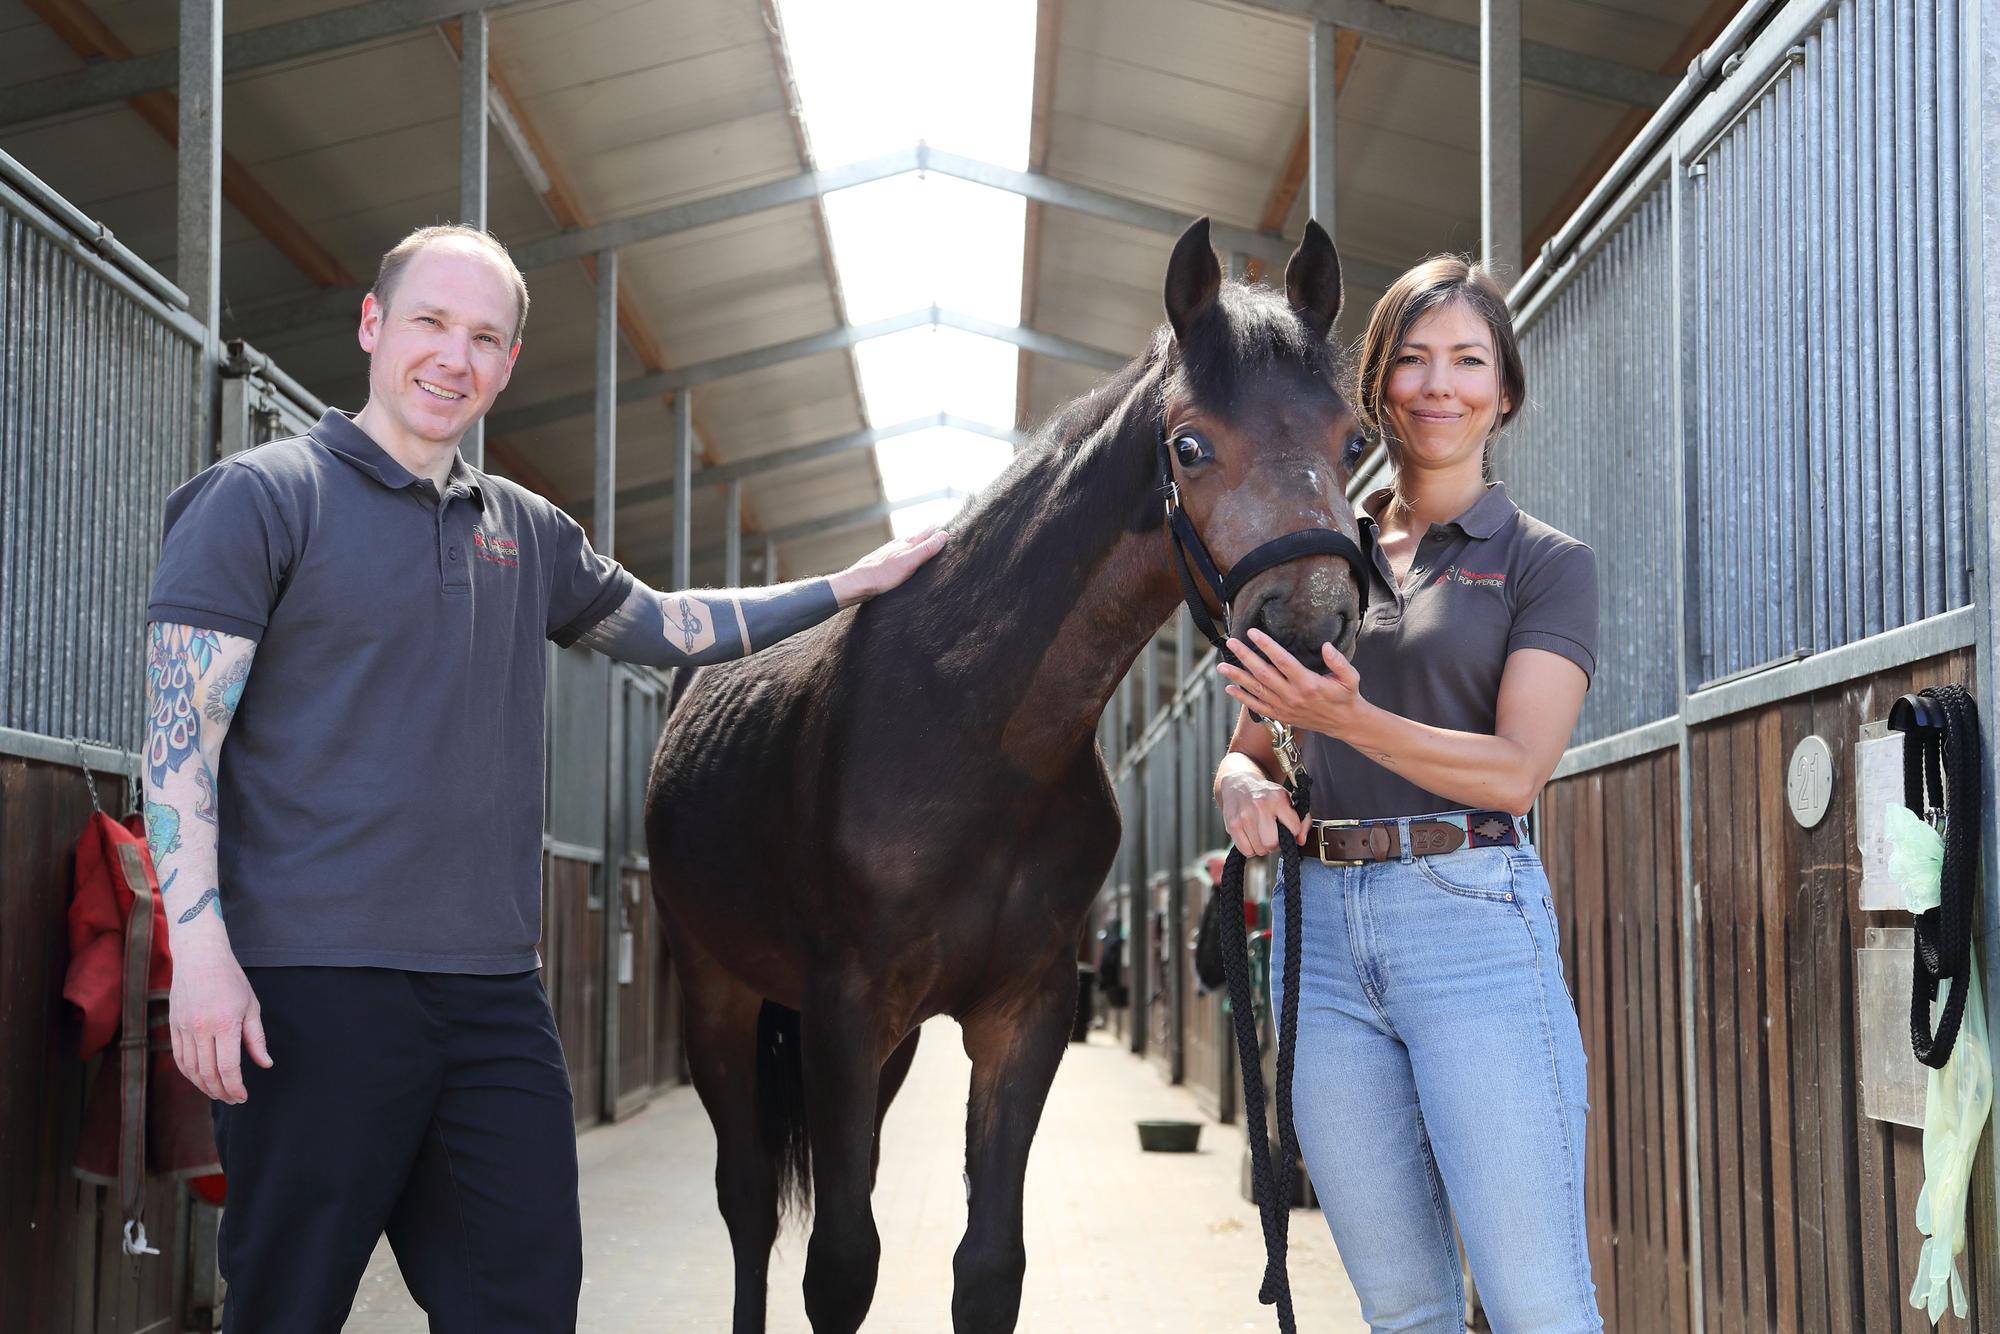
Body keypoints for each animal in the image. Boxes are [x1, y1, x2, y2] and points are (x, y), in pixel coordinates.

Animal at [644, 216, 1368, 1334]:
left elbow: (987, 1265)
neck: (975, 737)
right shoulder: (844, 1008)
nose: (1314, 630)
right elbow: (840, 1262)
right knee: (750, 1202)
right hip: (717, 989)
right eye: (1189, 444)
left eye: (1353, 441)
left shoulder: (1020, 1014)